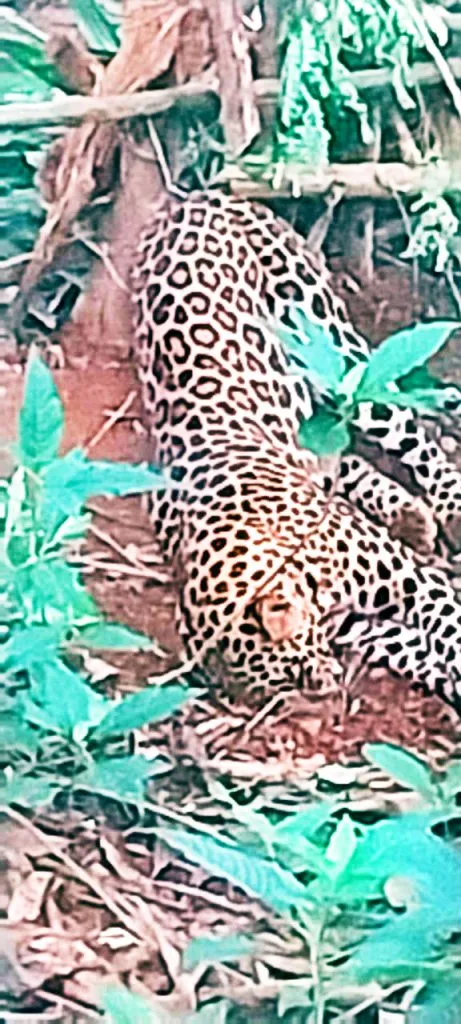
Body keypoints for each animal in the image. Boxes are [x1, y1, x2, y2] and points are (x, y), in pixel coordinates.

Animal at [131, 189, 461, 712]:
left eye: (293, 668)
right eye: (285, 683)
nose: (327, 688)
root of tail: (195, 197)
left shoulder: (411, 581)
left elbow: (450, 625)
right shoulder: (363, 626)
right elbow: (424, 656)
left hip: (332, 349)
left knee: (404, 425)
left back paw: (448, 504)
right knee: (338, 461)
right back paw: (408, 514)